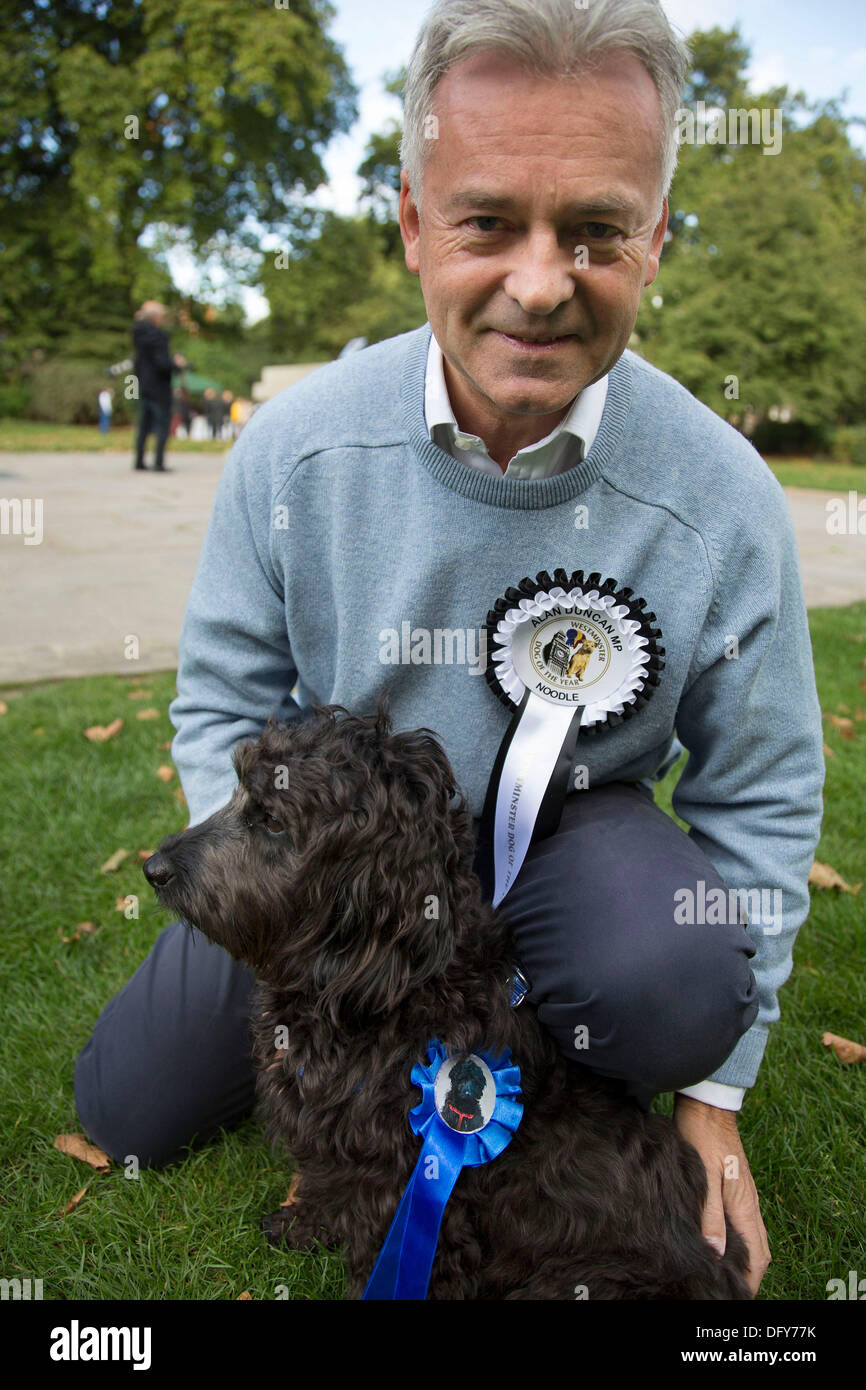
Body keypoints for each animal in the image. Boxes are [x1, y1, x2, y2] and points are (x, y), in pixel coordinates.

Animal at [143, 706, 750, 1301]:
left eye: (272, 820)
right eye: (239, 790)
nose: (153, 870)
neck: (398, 980)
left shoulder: (402, 1178)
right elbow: (327, 1180)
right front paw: (306, 1223)